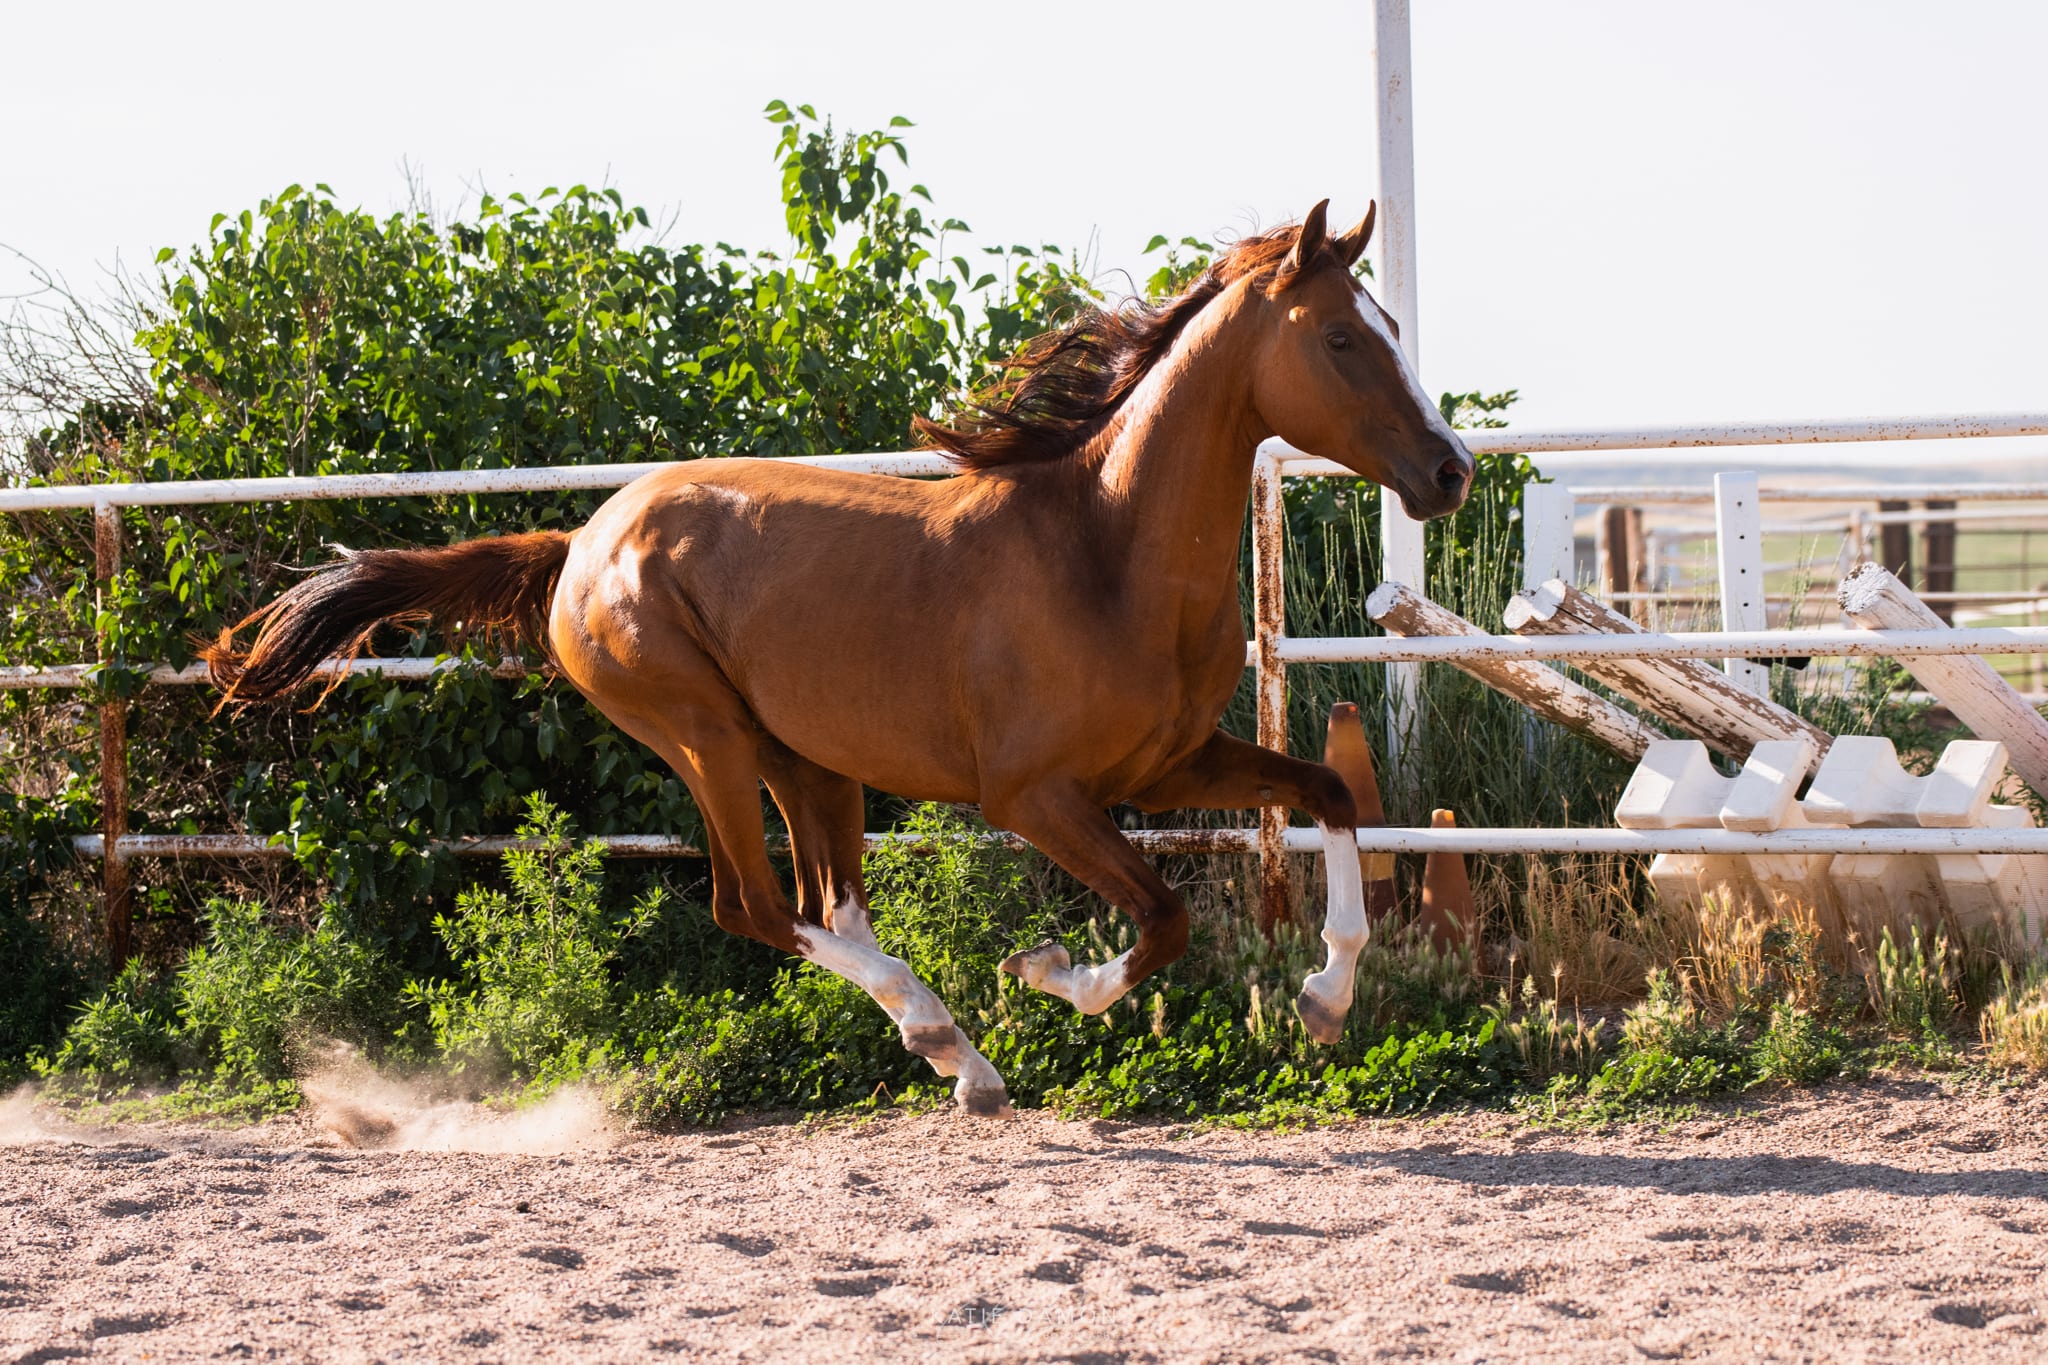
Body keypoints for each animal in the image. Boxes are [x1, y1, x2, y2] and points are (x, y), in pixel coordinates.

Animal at [203, 199, 1474, 1116]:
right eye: (1343, 338)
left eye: (1390, 329)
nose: (1450, 471)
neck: (1105, 550)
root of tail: (578, 547)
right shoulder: (1034, 797)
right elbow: (1161, 919)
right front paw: (1048, 973)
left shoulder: (1166, 768)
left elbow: (1324, 794)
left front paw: (1322, 999)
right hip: (704, 738)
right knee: (755, 908)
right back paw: (951, 1039)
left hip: (803, 759)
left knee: (827, 905)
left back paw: (954, 1056)